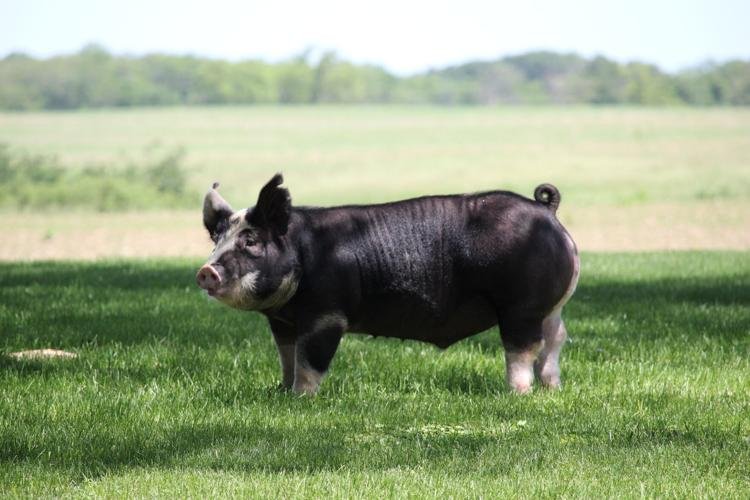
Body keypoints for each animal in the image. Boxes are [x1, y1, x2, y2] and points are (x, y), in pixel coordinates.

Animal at [196, 174, 579, 395]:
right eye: (217, 239)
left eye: (251, 241)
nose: (206, 271)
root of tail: (547, 211)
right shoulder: (282, 323)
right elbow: (288, 357)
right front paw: (281, 392)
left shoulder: (326, 315)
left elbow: (310, 361)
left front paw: (301, 399)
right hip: (550, 308)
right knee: (555, 339)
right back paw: (552, 389)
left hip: (520, 305)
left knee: (523, 346)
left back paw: (518, 393)